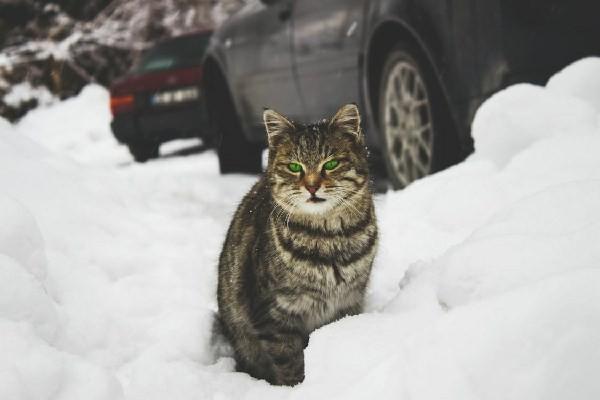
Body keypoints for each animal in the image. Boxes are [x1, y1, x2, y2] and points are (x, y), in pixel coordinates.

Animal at [216, 104, 378, 386]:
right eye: (294, 167)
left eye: (331, 163)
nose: (312, 186)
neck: (330, 239)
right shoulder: (274, 315)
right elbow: (289, 362)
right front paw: (296, 387)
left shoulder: (349, 302)